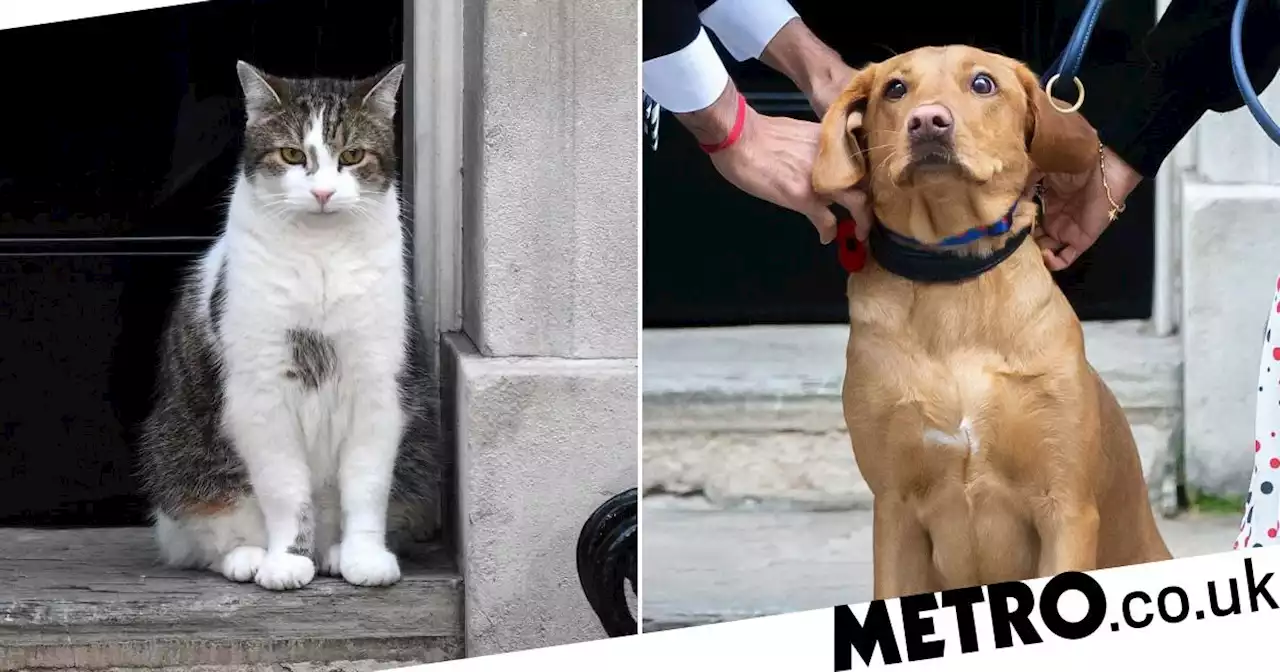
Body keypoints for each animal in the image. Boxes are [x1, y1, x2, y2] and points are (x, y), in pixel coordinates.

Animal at [137, 60, 442, 588]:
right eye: (292, 154)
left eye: (352, 155)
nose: (322, 191)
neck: (320, 254)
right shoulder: (262, 393)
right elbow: (284, 490)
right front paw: (285, 561)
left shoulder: (378, 387)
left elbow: (367, 486)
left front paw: (364, 557)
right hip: (177, 453)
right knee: (203, 534)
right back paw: (250, 557)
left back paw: (333, 553)